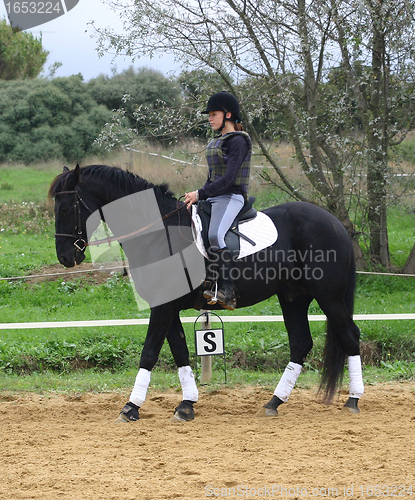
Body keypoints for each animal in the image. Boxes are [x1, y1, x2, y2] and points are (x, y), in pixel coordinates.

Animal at [49, 165, 364, 422]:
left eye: (64, 209)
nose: (65, 257)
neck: (158, 234)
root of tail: (334, 222)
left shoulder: (162, 308)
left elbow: (149, 353)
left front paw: (131, 407)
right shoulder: (166, 307)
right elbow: (180, 352)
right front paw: (186, 405)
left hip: (329, 296)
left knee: (349, 335)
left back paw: (352, 400)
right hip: (293, 297)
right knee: (301, 343)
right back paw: (274, 402)